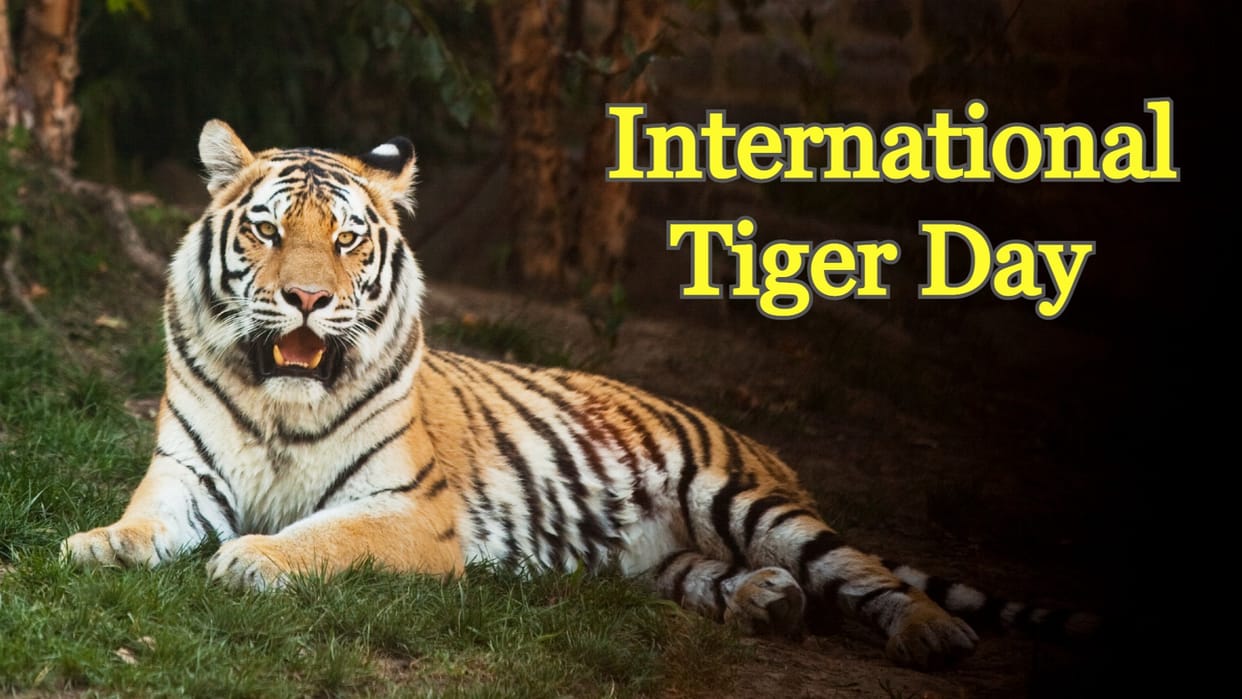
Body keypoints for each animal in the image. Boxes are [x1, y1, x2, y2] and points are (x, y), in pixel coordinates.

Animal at [61, 120, 1091, 671]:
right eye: (269, 231)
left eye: (347, 240)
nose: (308, 297)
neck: (282, 402)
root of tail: (763, 445)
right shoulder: (185, 476)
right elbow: (141, 523)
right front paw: (92, 545)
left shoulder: (409, 512)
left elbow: (324, 534)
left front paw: (253, 558)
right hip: (661, 561)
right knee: (730, 577)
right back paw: (767, 603)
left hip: (743, 497)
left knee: (863, 570)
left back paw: (931, 632)